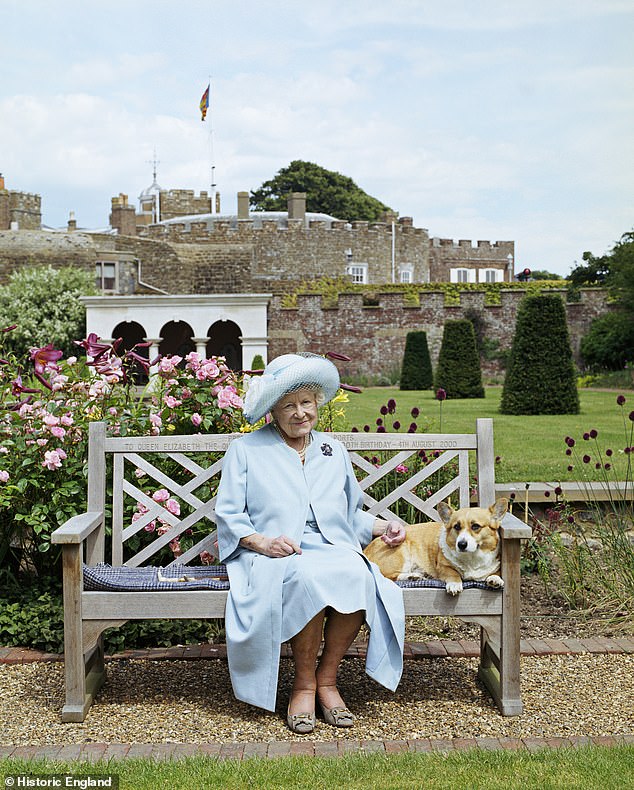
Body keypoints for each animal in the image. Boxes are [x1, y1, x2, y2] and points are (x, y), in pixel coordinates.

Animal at [362, 498, 506, 596]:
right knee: (388, 576)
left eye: (475, 526)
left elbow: (496, 572)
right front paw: (455, 584)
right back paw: (412, 577)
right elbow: (453, 573)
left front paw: (495, 579)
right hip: (401, 552)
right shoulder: (443, 567)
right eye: (456, 526)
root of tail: (365, 550)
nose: (461, 544)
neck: (472, 557)